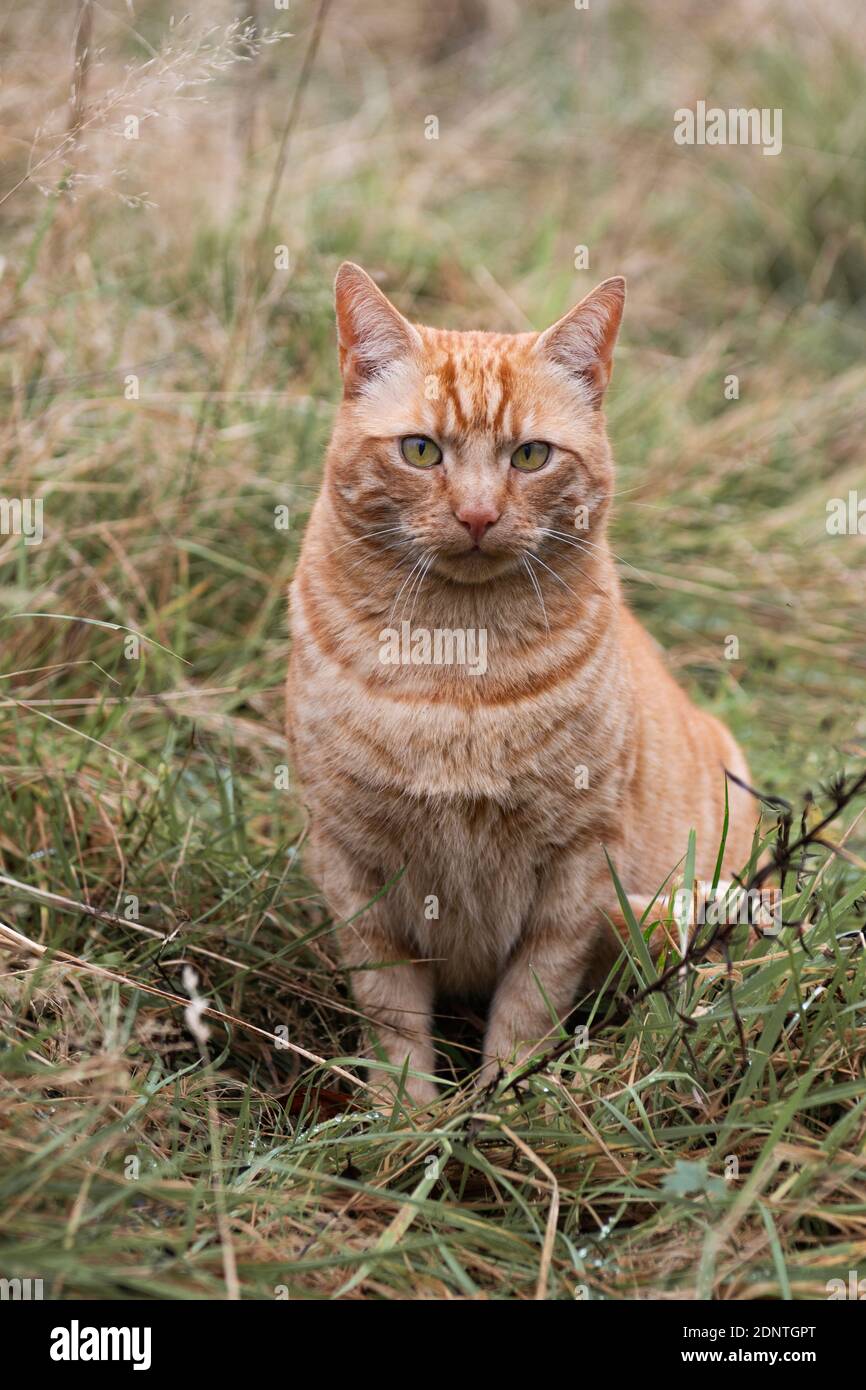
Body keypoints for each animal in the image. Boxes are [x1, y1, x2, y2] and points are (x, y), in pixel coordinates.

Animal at [287, 265, 756, 1100]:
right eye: (421, 451)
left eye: (532, 457)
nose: (478, 515)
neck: (457, 659)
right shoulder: (352, 865)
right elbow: (391, 1017)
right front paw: (405, 1119)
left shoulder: (577, 865)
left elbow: (528, 1007)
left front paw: (502, 1107)